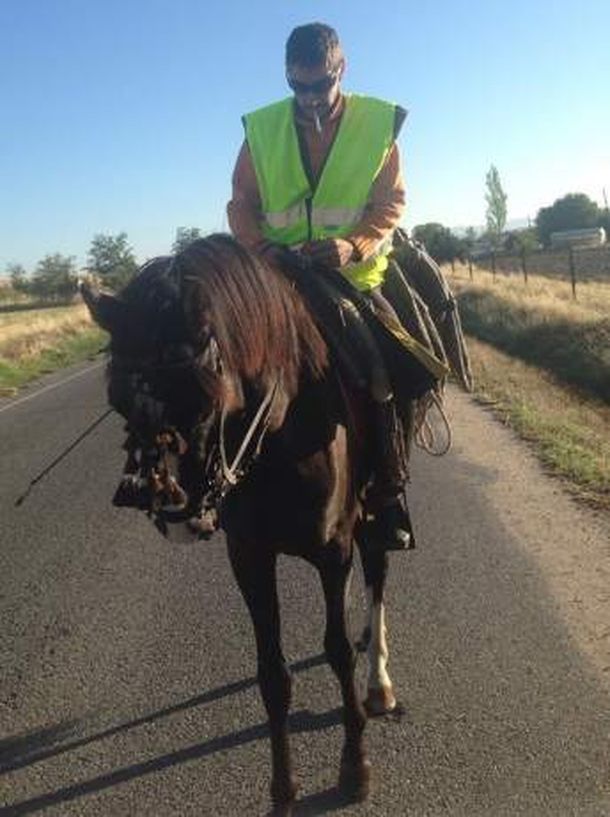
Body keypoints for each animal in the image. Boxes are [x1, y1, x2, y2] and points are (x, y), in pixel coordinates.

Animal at [82, 234, 404, 815]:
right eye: (117, 402)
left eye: (203, 396)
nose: (171, 509)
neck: (278, 430)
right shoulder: (249, 556)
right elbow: (272, 675)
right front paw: (282, 791)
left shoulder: (335, 549)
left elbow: (338, 652)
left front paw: (355, 766)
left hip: (371, 516)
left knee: (378, 578)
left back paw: (379, 680)